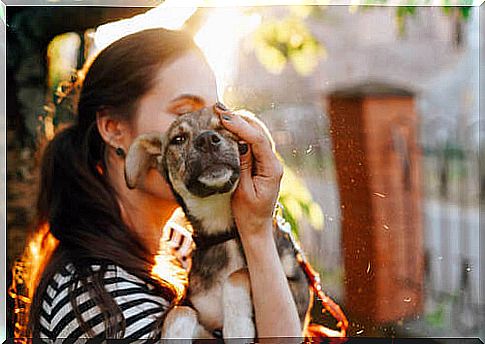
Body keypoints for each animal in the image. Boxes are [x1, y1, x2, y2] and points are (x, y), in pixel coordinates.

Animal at [124, 105, 310, 342]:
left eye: (224, 125)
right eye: (178, 139)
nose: (207, 140)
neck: (222, 230)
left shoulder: (299, 292)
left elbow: (237, 274)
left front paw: (238, 327)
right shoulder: (206, 326)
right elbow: (180, 311)